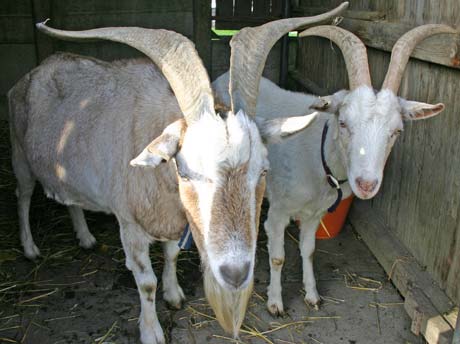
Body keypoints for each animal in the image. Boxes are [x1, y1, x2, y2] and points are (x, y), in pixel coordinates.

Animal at [7, 4, 346, 342]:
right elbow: (146, 282)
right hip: (19, 154)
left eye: (263, 171)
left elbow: (170, 256)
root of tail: (31, 75)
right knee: (22, 195)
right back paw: (30, 248)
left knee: (70, 199)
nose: (235, 274)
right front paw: (152, 332)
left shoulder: (173, 219)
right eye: (185, 173)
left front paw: (174, 296)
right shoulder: (129, 224)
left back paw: (86, 237)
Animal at [213, 22, 456, 316]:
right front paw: (275, 302)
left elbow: (308, 250)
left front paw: (312, 295)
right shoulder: (280, 211)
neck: (318, 160)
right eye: (343, 122)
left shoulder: (314, 213)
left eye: (396, 131)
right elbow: (279, 257)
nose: (366, 184)